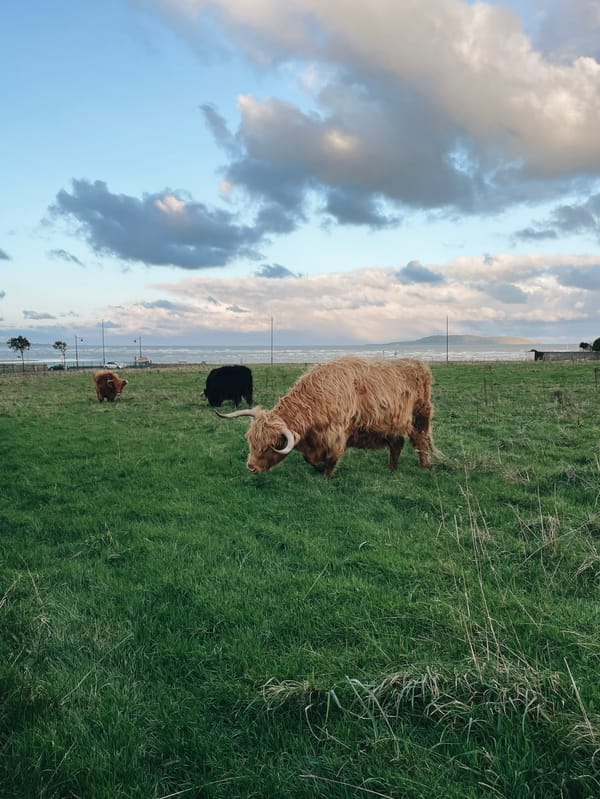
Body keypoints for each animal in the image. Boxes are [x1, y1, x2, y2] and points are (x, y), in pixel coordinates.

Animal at [217, 357, 433, 477]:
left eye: (269, 446)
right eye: (251, 442)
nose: (251, 467)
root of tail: (418, 363)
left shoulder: (335, 436)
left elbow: (331, 459)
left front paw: (325, 476)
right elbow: (310, 460)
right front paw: (318, 467)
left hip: (420, 416)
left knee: (421, 440)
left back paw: (425, 466)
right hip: (392, 425)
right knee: (397, 444)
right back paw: (391, 468)